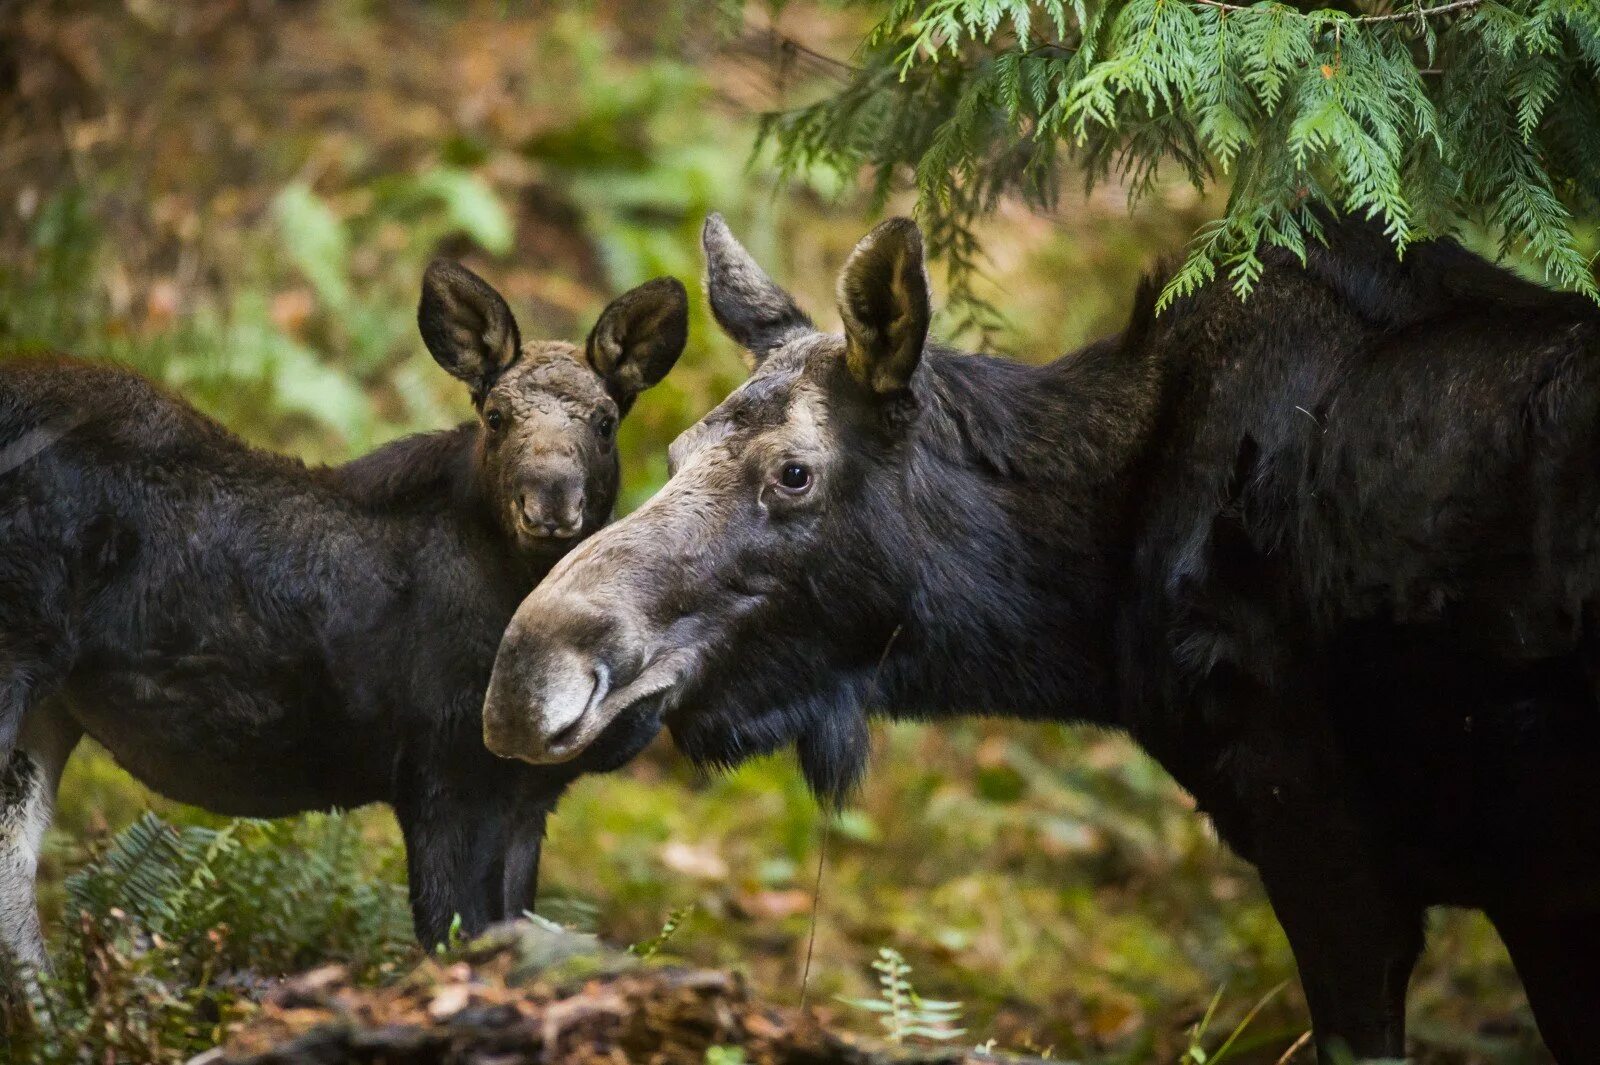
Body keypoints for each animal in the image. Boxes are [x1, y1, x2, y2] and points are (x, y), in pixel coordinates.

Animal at [0, 257, 681, 959]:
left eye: (604, 421)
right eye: (495, 416)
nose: (549, 501)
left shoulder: (526, 799)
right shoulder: (443, 770)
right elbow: (453, 940)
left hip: (50, 705)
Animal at [483, 211, 1600, 1055]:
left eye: (793, 471)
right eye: (672, 450)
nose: (528, 672)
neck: (1093, 616)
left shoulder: (1328, 842)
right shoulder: (1531, 895)